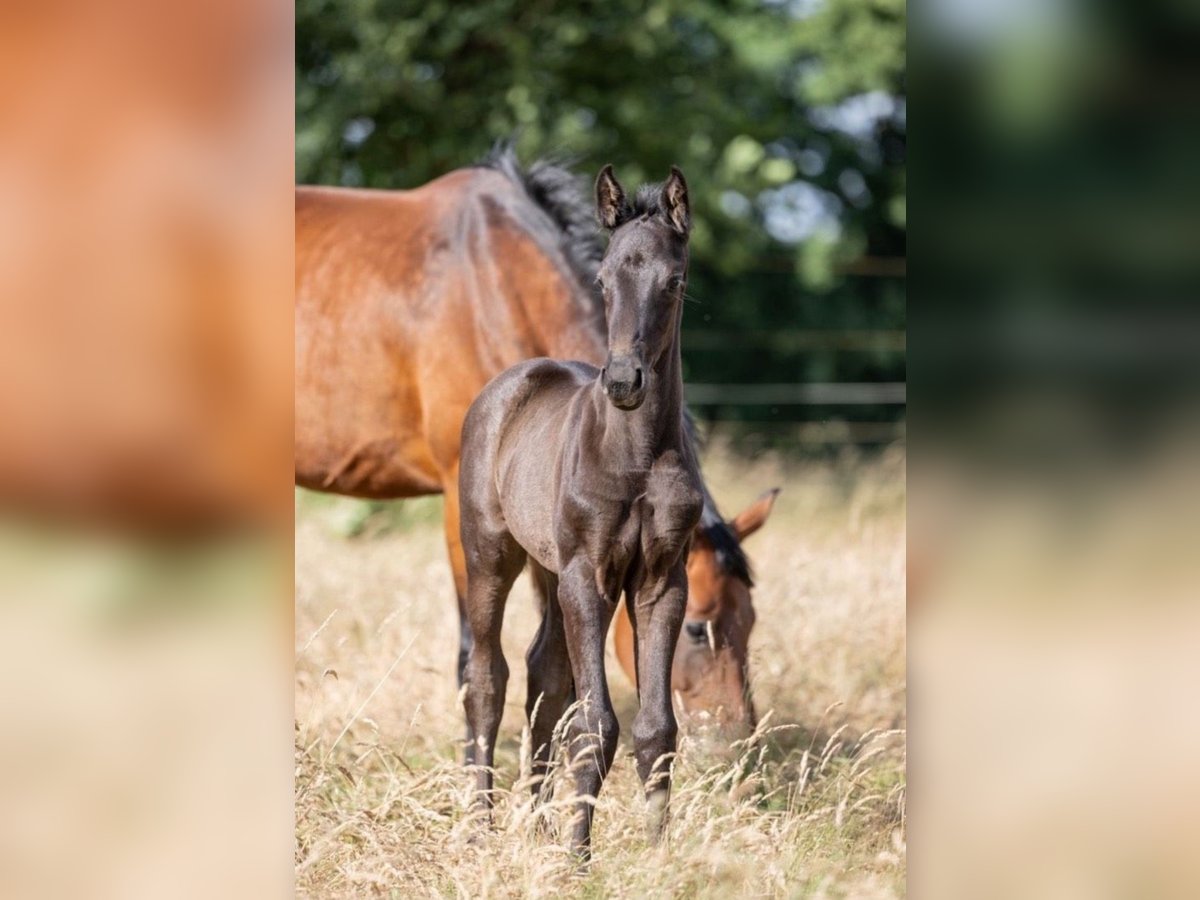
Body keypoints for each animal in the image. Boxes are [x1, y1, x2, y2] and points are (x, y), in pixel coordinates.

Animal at [298, 146, 763, 739]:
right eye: (699, 627)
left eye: (750, 619)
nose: (736, 738)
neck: (496, 285)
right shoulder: (460, 506)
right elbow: (477, 662)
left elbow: (552, 670)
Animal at [458, 164, 700, 859]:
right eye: (601, 278)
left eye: (674, 282)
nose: (623, 382)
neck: (637, 454)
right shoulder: (588, 578)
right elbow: (595, 724)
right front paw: (577, 859)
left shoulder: (660, 582)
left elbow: (655, 728)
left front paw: (658, 855)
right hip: (491, 554)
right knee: (487, 677)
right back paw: (482, 828)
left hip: (549, 567)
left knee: (543, 673)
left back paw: (536, 824)